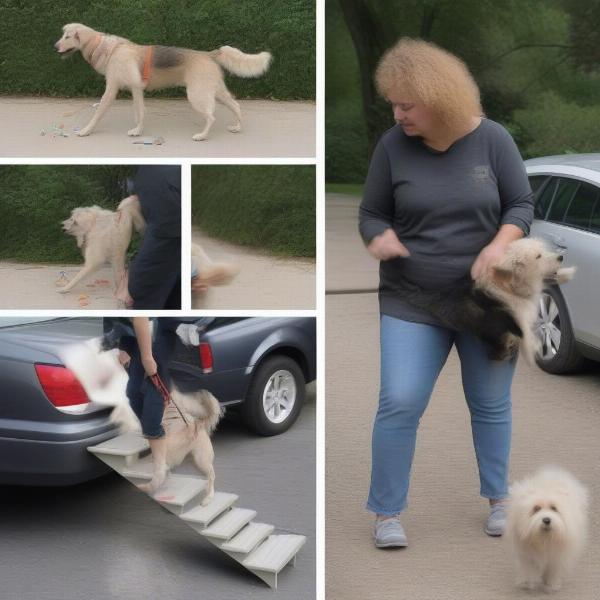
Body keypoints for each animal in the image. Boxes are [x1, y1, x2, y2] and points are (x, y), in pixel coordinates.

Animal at [52, 23, 274, 141]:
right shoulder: (136, 90)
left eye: (67, 36)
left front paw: (86, 131)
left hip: (197, 95)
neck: (109, 49)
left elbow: (99, 113)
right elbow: (139, 113)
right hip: (215, 92)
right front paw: (138, 130)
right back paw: (237, 128)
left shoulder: (113, 90)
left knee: (211, 117)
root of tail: (208, 54)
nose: (55, 47)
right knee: (236, 106)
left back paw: (202, 136)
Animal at [406, 238, 576, 360]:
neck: (509, 288)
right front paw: (535, 347)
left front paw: (566, 273)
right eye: (538, 256)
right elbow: (525, 337)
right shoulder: (513, 320)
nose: (561, 257)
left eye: (543, 250)